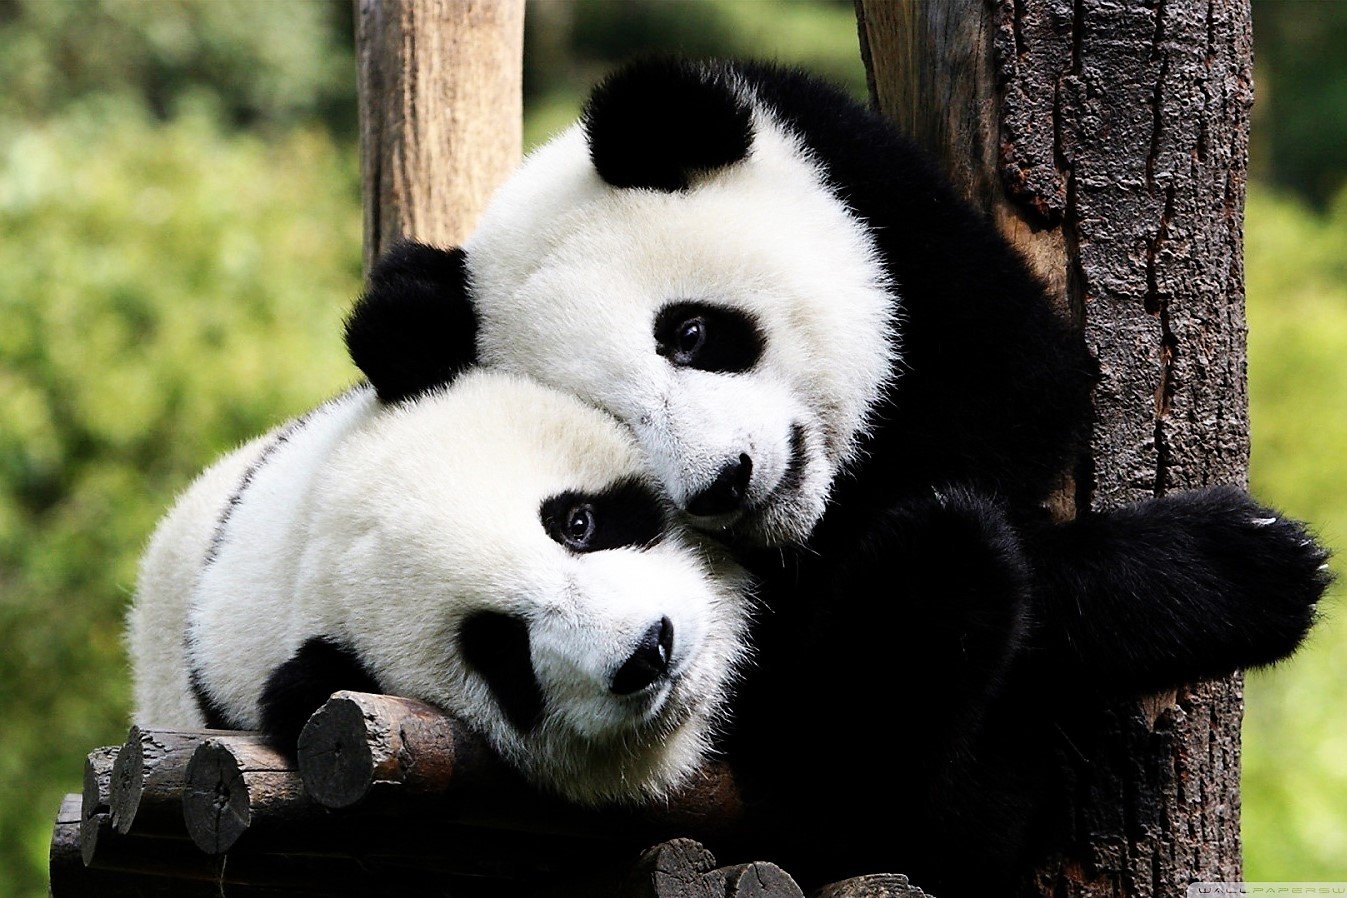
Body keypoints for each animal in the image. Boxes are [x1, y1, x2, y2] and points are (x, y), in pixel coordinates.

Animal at [336, 57, 1325, 893]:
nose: (724, 483)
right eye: (614, 425)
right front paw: (1239, 570)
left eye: (689, 332)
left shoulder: (886, 210)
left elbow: (1016, 396)